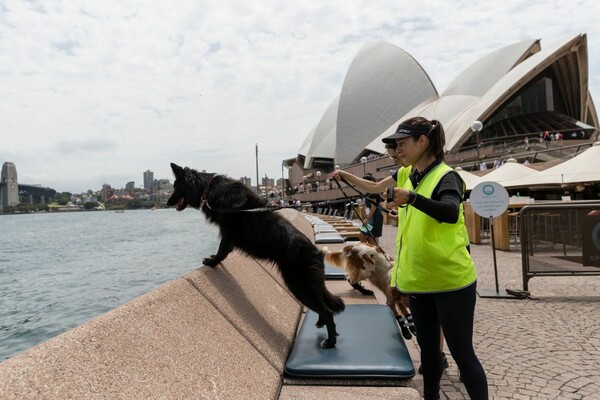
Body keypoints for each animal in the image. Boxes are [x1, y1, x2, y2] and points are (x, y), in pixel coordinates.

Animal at [166, 164, 344, 348]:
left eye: (175, 187)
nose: (167, 203)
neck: (207, 188)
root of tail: (317, 253)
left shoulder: (228, 231)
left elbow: (222, 250)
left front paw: (212, 261)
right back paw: (321, 323)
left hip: (300, 286)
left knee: (328, 311)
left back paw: (330, 341)